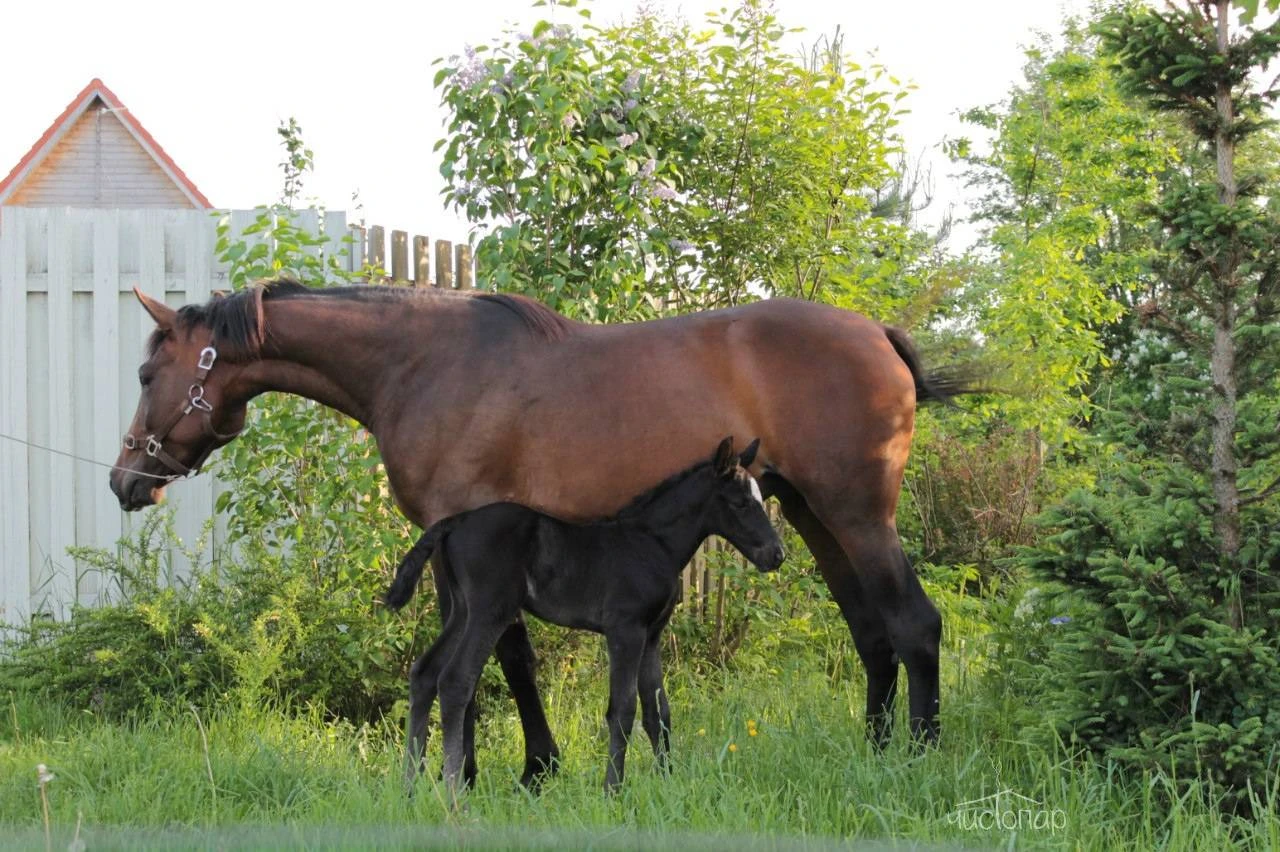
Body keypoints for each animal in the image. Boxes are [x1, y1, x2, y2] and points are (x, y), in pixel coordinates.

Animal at [381, 434, 778, 793]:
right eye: (742, 502)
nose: (777, 554)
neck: (651, 544)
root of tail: (456, 522)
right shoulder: (625, 631)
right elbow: (623, 711)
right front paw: (613, 790)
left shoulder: (651, 635)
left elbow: (658, 712)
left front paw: (669, 784)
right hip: (488, 612)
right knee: (455, 680)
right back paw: (452, 792)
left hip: (461, 612)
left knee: (424, 674)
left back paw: (410, 789)